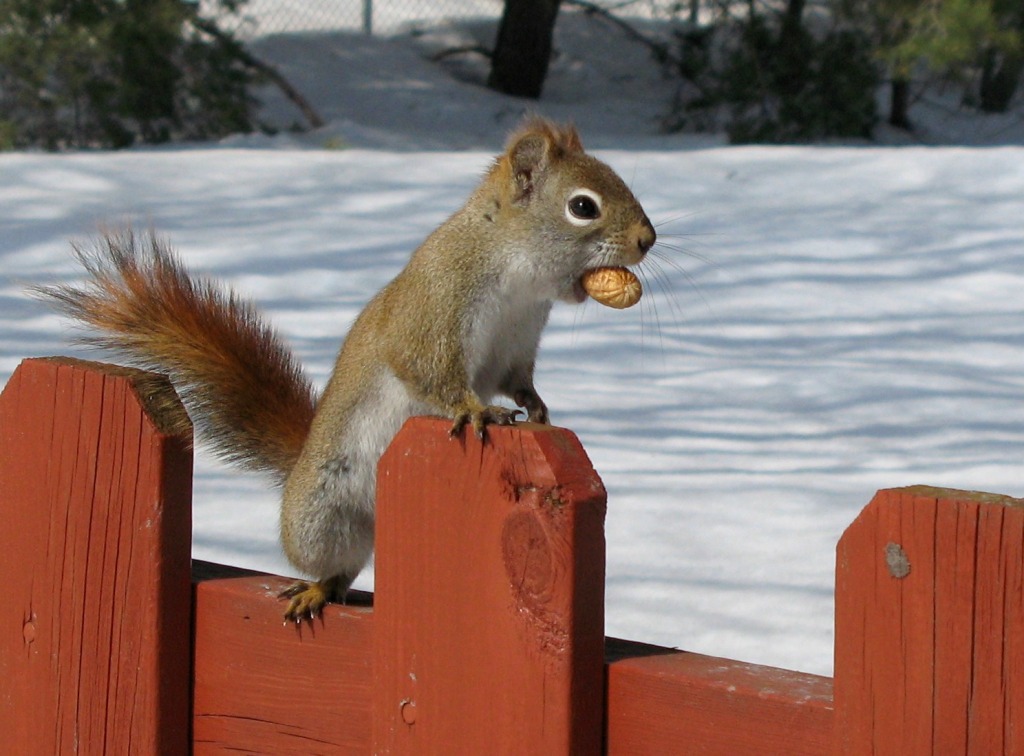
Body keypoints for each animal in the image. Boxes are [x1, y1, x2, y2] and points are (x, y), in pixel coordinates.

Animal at [37, 117, 655, 622]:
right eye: (583, 206)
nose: (648, 240)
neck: (517, 272)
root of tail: (300, 466)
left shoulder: (517, 343)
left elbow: (516, 380)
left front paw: (536, 407)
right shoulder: (435, 309)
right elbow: (428, 369)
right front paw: (475, 410)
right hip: (324, 511)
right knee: (333, 564)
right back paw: (316, 590)